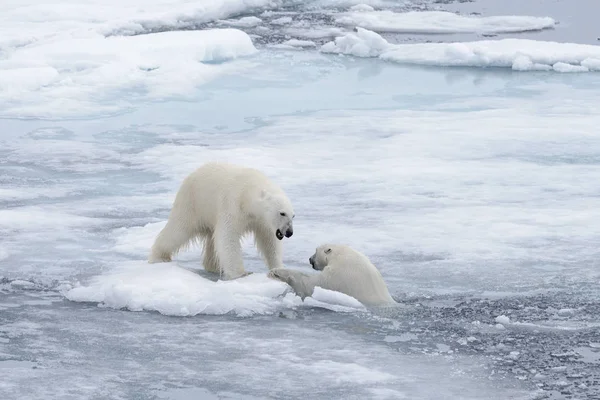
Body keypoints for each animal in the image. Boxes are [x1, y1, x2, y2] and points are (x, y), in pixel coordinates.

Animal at [150, 161, 296, 280]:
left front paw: (279, 268)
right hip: (192, 203)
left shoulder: (262, 220)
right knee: (178, 230)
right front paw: (241, 274)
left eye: (293, 216)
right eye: (282, 213)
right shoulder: (233, 204)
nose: (289, 232)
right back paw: (159, 256)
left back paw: (213, 266)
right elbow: (228, 235)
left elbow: (268, 240)